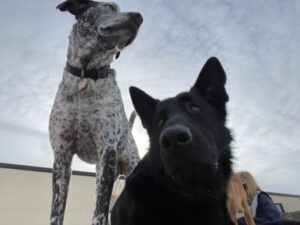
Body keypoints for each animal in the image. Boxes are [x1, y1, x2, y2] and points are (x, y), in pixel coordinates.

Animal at [48, 0, 142, 224]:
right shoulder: (62, 155)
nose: (139, 17)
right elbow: (57, 210)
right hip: (100, 175)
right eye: (109, 6)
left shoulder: (107, 150)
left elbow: (99, 214)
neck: (86, 74)